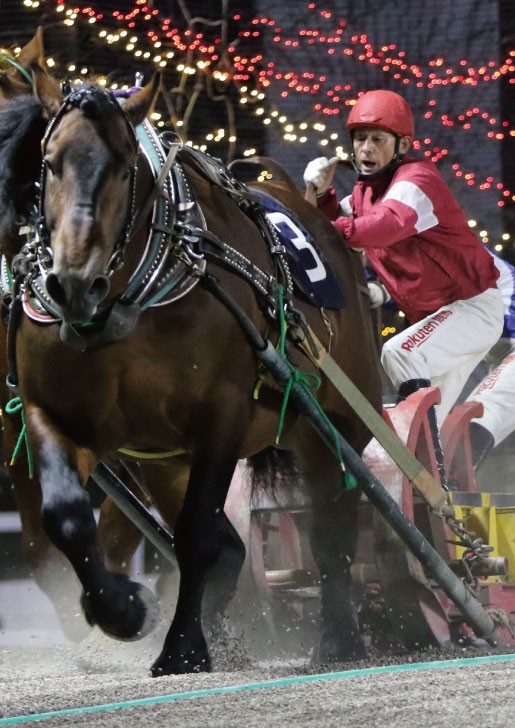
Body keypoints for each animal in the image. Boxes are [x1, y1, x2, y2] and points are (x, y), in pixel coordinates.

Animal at [10, 70, 382, 675]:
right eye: (50, 161)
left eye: (123, 165)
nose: (73, 283)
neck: (123, 311)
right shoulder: (54, 413)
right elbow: (66, 517)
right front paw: (122, 609)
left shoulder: (221, 415)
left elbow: (196, 539)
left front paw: (183, 645)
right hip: (163, 460)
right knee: (236, 544)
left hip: (335, 418)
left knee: (333, 524)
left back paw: (338, 636)